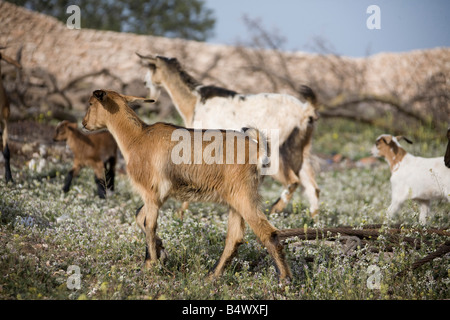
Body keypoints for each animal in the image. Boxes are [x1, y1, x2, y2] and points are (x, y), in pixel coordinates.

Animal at [81, 89, 292, 280]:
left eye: (91, 103)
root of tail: (257, 148)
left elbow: (150, 225)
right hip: (236, 199)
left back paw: (284, 280)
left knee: (268, 233)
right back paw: (211, 276)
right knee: (235, 237)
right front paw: (160, 251)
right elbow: (140, 217)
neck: (137, 138)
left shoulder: (150, 192)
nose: (84, 123)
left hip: (243, 195)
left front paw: (150, 265)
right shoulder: (159, 195)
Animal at [136, 53, 320, 215]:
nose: (144, 82)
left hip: (275, 148)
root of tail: (304, 110)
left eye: (151, 66)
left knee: (292, 181)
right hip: (302, 149)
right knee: (313, 188)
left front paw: (180, 214)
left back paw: (274, 210)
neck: (194, 101)